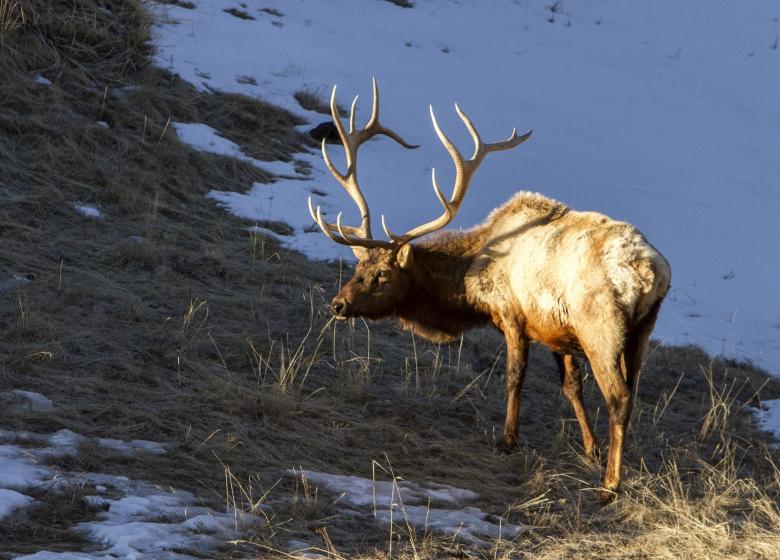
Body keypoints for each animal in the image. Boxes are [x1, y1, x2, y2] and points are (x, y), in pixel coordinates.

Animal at [307, 79, 671, 497]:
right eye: (358, 267)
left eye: (382, 273)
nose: (338, 303)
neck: (471, 283)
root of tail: (650, 271)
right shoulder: (556, 330)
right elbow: (571, 386)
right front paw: (590, 449)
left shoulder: (513, 314)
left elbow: (514, 376)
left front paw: (507, 440)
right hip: (641, 330)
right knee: (632, 393)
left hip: (601, 327)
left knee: (619, 397)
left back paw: (611, 484)